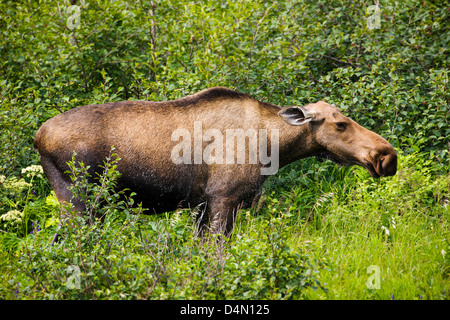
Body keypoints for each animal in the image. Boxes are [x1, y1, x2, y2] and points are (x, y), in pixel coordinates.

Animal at [35, 86, 398, 236]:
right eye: (340, 124)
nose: (387, 156)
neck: (273, 147)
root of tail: (38, 137)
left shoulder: (202, 203)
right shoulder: (224, 197)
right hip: (78, 198)